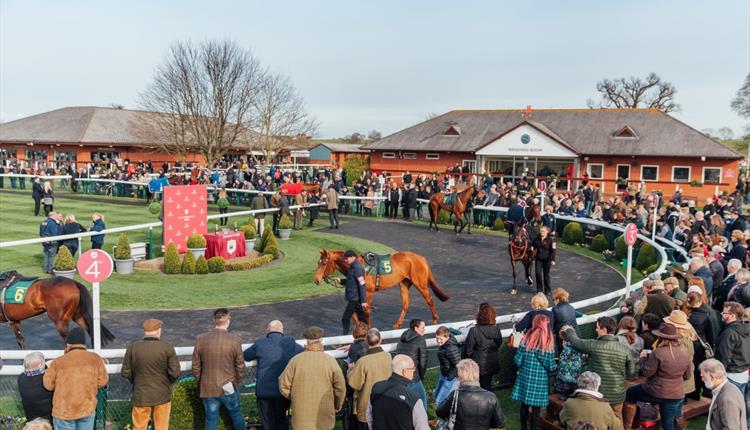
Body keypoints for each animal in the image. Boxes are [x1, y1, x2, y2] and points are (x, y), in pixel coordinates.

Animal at [312, 249, 452, 330]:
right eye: (318, 262)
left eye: (323, 263)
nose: (316, 280)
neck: (360, 266)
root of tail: (421, 258)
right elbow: (353, 313)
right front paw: (360, 326)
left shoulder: (368, 292)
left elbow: (366, 311)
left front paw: (367, 328)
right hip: (404, 283)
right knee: (406, 303)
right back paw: (398, 323)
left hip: (420, 284)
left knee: (429, 299)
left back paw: (435, 319)